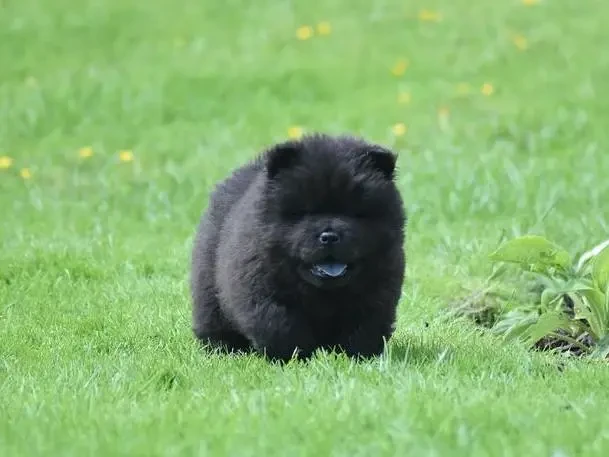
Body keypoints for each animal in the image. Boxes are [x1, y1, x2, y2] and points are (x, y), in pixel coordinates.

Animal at [192, 134, 406, 362]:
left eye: (354, 214)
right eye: (304, 212)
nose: (329, 236)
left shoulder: (377, 292)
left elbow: (364, 327)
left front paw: (356, 356)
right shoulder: (263, 290)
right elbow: (279, 323)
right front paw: (293, 357)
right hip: (209, 292)